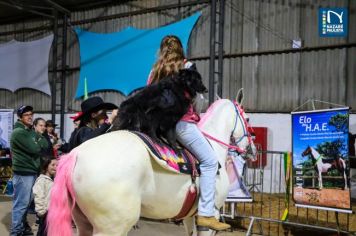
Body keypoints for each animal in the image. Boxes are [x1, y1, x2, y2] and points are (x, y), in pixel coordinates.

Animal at [47, 92, 256, 236]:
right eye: (247, 119)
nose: (251, 149)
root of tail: (76, 154)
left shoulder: (189, 217)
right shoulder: (211, 214)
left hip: (83, 222)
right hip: (113, 226)